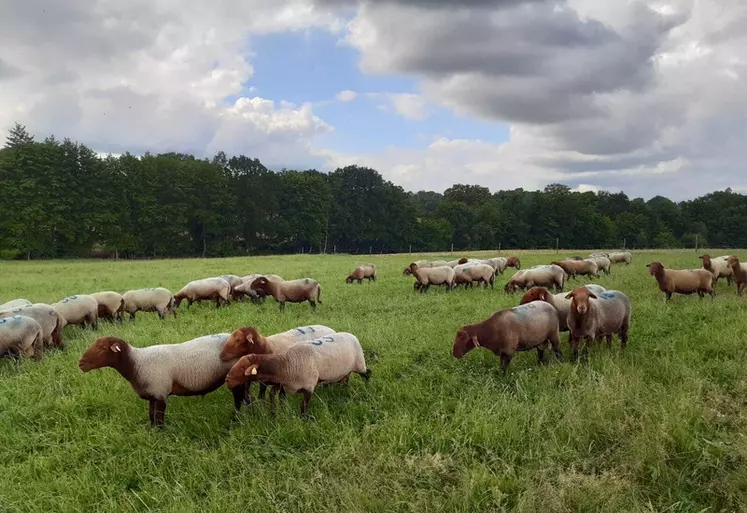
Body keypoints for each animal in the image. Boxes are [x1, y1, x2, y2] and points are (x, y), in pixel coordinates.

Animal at [78, 332, 240, 428]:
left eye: (102, 348)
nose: (81, 364)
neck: (136, 362)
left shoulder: (161, 393)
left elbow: (159, 417)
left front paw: (161, 434)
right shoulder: (152, 394)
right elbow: (151, 415)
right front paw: (153, 432)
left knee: (240, 398)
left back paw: (235, 418)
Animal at [224, 330, 372, 418]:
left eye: (243, 368)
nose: (227, 380)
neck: (285, 364)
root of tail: (350, 334)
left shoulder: (308, 386)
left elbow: (303, 406)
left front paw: (304, 420)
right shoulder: (280, 383)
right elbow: (273, 396)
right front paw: (273, 414)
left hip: (359, 363)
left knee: (367, 373)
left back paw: (368, 386)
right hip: (347, 369)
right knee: (347, 377)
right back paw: (346, 388)